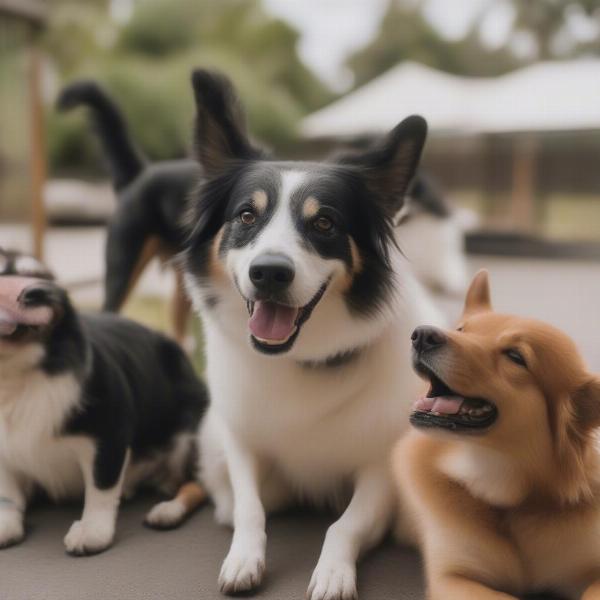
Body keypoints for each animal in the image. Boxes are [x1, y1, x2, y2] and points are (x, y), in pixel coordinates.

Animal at [0, 251, 207, 556]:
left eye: (42, 277)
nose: (36, 292)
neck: (17, 373)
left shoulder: (109, 434)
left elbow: (100, 486)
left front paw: (93, 530)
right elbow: (7, 493)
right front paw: (6, 523)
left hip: (189, 435)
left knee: (199, 483)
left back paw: (168, 509)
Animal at [183, 71, 446, 600]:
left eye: (324, 222)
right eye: (247, 216)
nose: (269, 273)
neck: (297, 358)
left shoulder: (380, 470)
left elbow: (344, 525)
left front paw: (333, 572)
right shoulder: (242, 443)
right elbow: (248, 507)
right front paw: (243, 558)